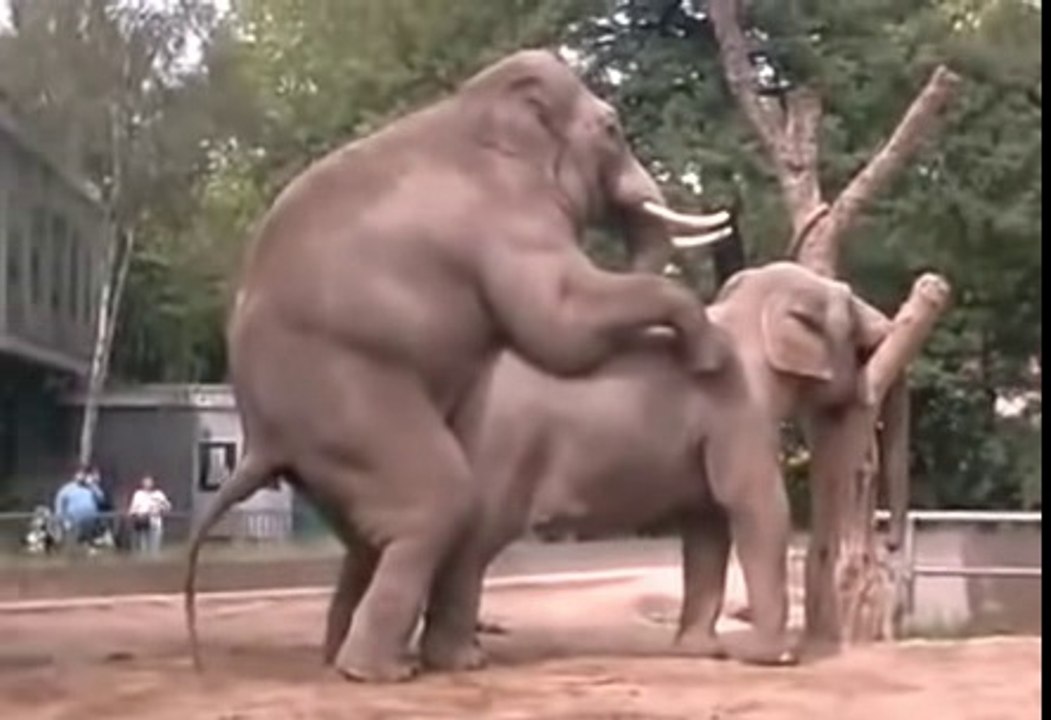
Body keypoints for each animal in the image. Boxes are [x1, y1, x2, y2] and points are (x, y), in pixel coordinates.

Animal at [182, 48, 734, 683]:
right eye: (612, 128)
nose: (702, 357)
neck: (486, 107)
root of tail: (258, 438)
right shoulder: (510, 220)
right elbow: (558, 324)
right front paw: (711, 352)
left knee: (371, 536)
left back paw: (345, 658)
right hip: (344, 395)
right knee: (438, 501)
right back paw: (381, 672)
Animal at [345, 261, 890, 671]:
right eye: (848, 302)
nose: (887, 327)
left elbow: (707, 526)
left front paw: (700, 653)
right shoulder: (740, 413)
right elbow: (755, 508)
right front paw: (773, 659)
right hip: (502, 447)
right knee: (475, 540)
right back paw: (460, 661)